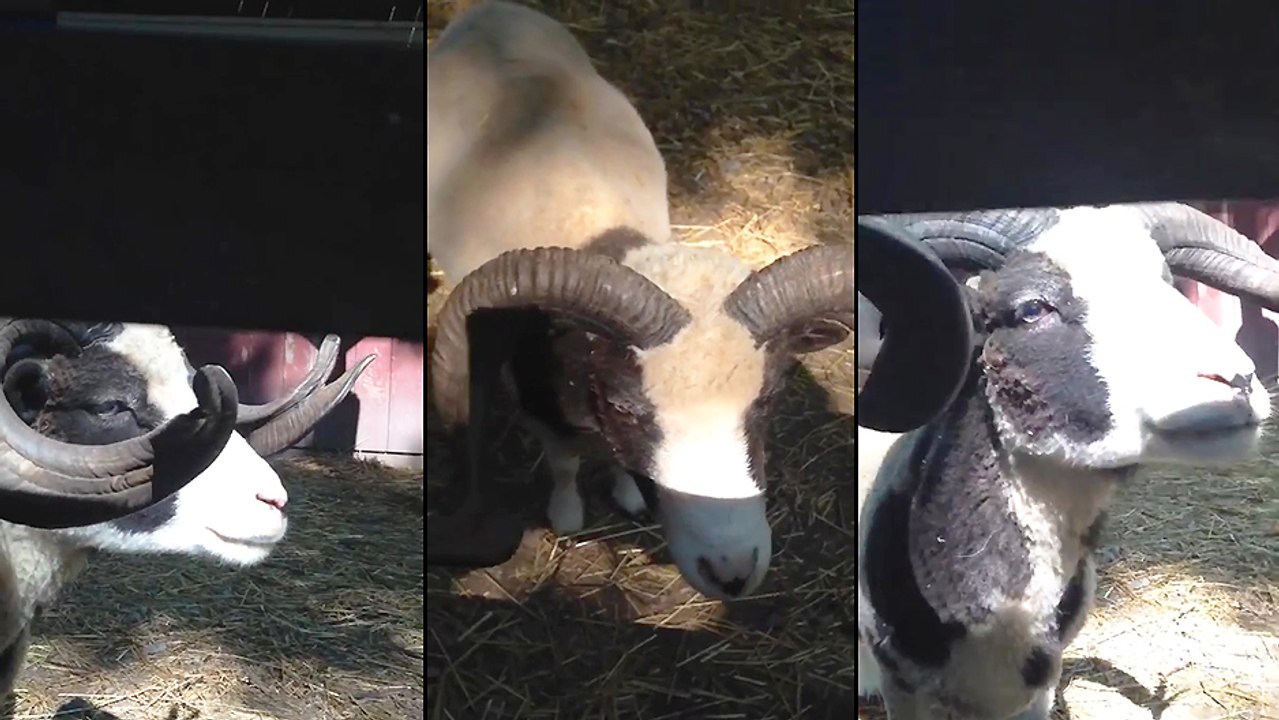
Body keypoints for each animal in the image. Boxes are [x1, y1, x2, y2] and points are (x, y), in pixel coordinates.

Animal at [427, 1, 855, 599]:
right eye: (627, 408)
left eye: (767, 400)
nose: (732, 572)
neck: (601, 233)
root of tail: (491, 11)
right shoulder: (538, 400)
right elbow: (564, 462)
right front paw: (567, 514)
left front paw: (627, 492)